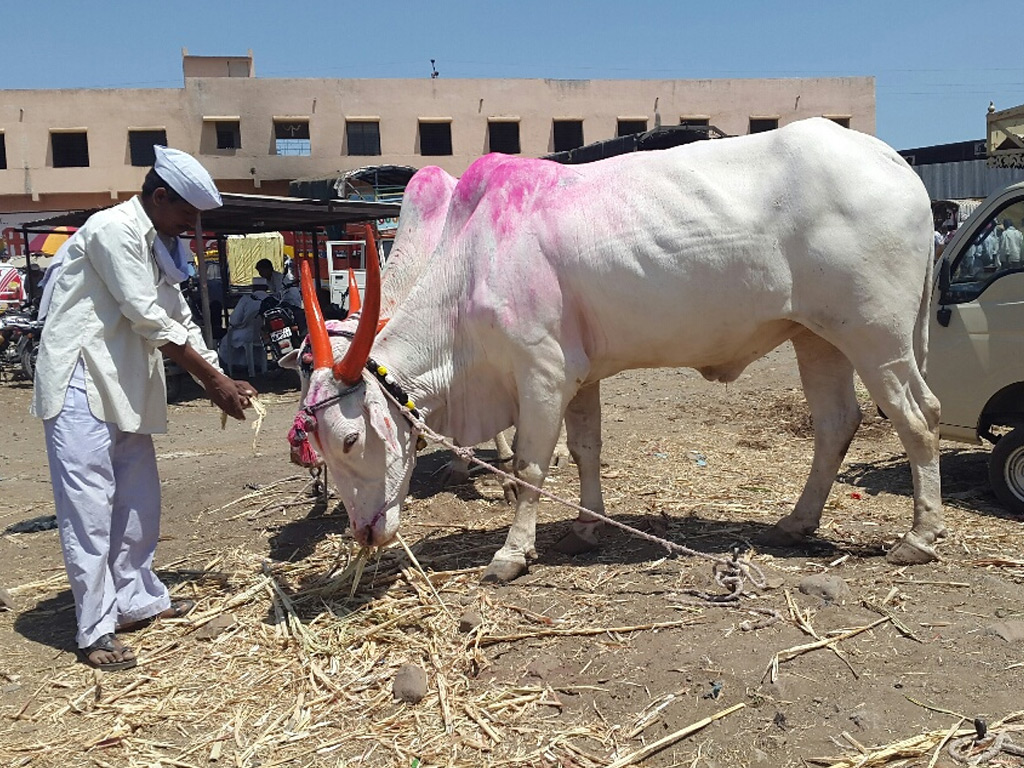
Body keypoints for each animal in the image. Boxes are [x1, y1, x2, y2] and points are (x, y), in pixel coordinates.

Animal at [294, 118, 942, 583]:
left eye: (348, 440)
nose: (363, 532)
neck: (470, 269)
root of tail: (892, 160)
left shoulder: (542, 372)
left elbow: (530, 466)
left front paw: (512, 554)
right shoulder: (579, 375)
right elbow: (586, 449)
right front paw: (584, 527)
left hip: (876, 336)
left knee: (919, 418)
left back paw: (918, 538)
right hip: (818, 336)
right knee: (837, 422)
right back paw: (796, 523)